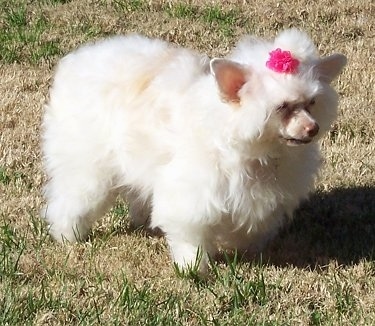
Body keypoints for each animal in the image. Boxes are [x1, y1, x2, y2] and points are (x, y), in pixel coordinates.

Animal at [41, 29, 346, 272]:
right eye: (282, 107)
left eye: (312, 102)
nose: (312, 128)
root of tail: (78, 61)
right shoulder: (191, 193)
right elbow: (190, 233)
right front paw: (192, 267)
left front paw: (245, 250)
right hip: (88, 165)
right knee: (72, 198)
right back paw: (68, 234)